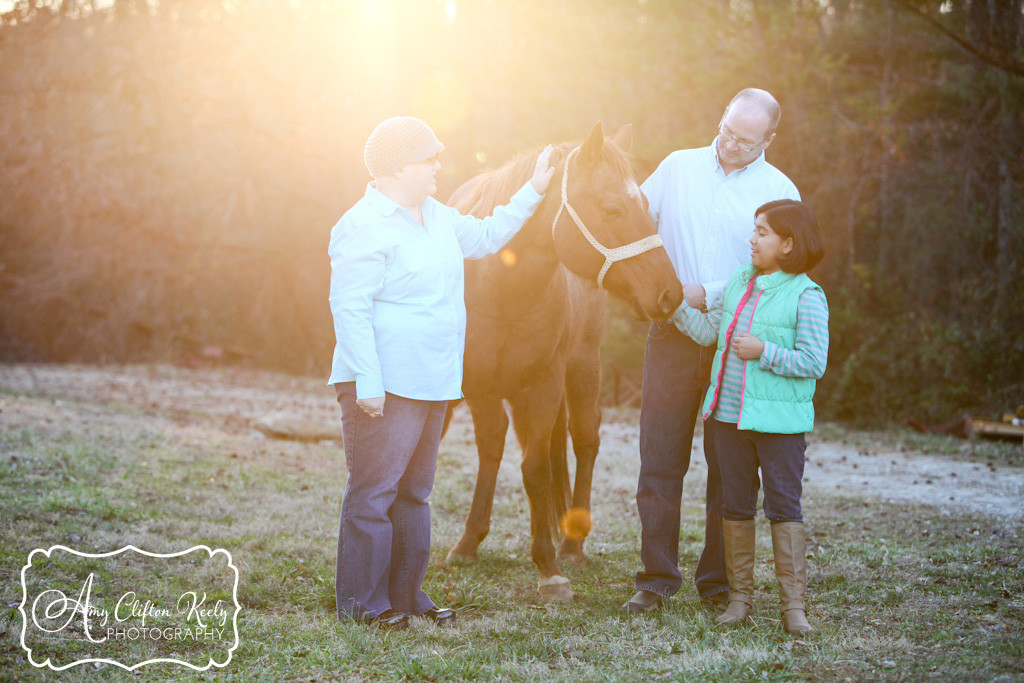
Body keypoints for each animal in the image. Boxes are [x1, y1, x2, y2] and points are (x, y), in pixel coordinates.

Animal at [446, 121, 679, 598]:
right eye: (612, 209)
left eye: (646, 206)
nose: (671, 293)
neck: (501, 289)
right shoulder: (478, 386)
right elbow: (494, 451)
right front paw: (468, 542)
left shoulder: (543, 385)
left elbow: (535, 470)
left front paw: (549, 567)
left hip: (583, 365)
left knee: (585, 438)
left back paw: (571, 543)